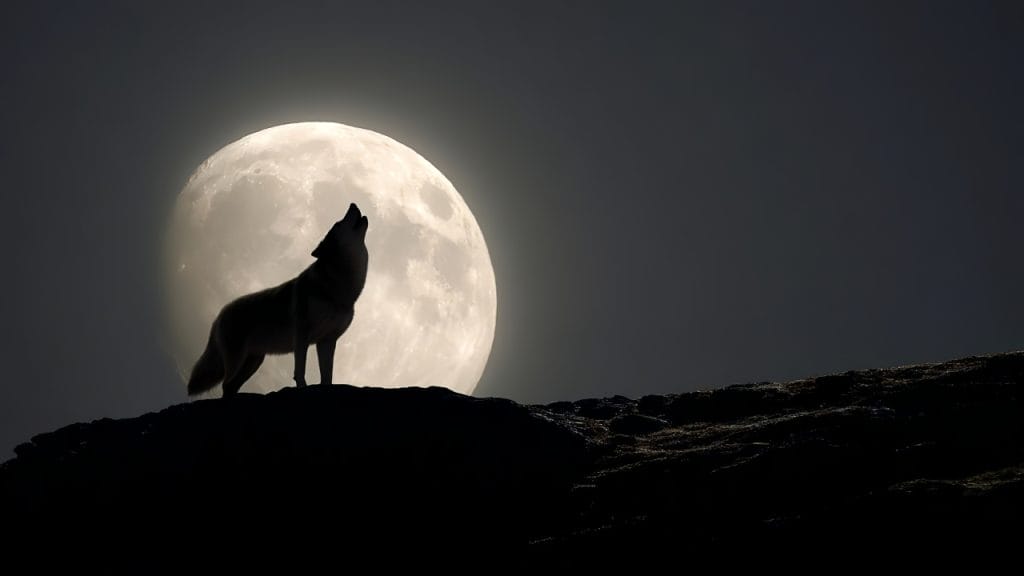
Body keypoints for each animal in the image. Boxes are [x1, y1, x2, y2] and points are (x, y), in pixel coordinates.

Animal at [187, 203, 369, 397]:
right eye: (338, 223)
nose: (353, 204)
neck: (337, 287)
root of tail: (219, 315)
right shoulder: (301, 336)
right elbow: (300, 371)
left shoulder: (327, 341)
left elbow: (327, 377)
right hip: (238, 361)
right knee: (226, 385)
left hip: (254, 362)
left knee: (231, 386)